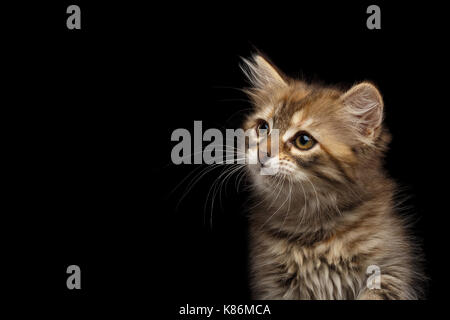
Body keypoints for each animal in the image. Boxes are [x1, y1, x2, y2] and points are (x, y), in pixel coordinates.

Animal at [241, 54, 424, 300]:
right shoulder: (272, 283)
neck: (310, 226)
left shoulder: (391, 267)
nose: (261, 154)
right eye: (262, 127)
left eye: (304, 141)